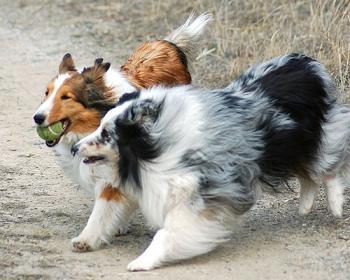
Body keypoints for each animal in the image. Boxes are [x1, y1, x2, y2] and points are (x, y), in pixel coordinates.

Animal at [72, 53, 348, 272]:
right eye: (99, 127)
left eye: (106, 135)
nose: (75, 148)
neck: (162, 139)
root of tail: (304, 63)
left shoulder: (202, 192)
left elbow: (168, 232)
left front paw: (143, 261)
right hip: (290, 145)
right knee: (308, 172)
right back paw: (306, 204)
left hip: (312, 137)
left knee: (328, 163)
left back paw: (335, 204)